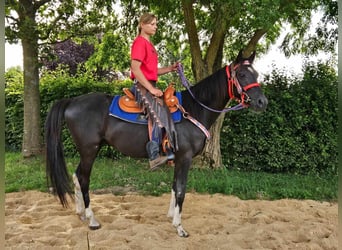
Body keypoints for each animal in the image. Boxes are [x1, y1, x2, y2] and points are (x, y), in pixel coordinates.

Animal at [44, 50, 268, 236]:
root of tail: (72, 101)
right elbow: (181, 189)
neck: (194, 109)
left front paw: (171, 217)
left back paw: (81, 214)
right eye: (242, 75)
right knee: (83, 179)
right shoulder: (185, 157)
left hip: (87, 151)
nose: (262, 102)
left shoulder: (178, 157)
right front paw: (179, 227)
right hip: (90, 150)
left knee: (76, 176)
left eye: (256, 74)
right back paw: (92, 220)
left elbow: (174, 186)